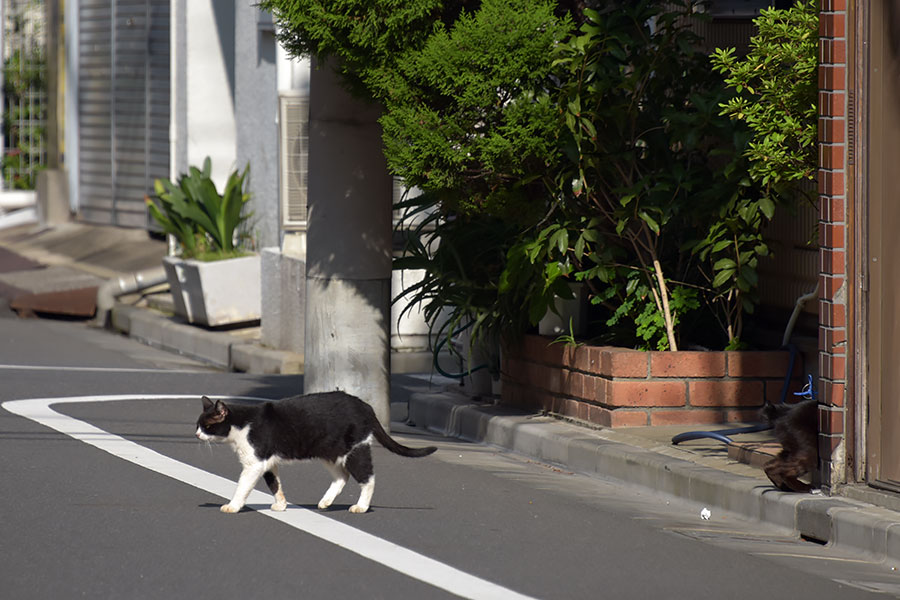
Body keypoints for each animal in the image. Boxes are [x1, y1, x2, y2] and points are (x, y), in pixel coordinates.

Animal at [195, 392, 438, 512]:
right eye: (197, 425)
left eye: (206, 426)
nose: (196, 434)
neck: (242, 424)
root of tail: (367, 407)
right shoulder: (267, 462)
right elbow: (275, 484)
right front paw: (281, 505)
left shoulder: (254, 463)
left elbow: (242, 486)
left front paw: (233, 506)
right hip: (330, 452)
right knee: (342, 477)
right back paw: (326, 502)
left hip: (354, 450)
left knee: (368, 478)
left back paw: (361, 506)